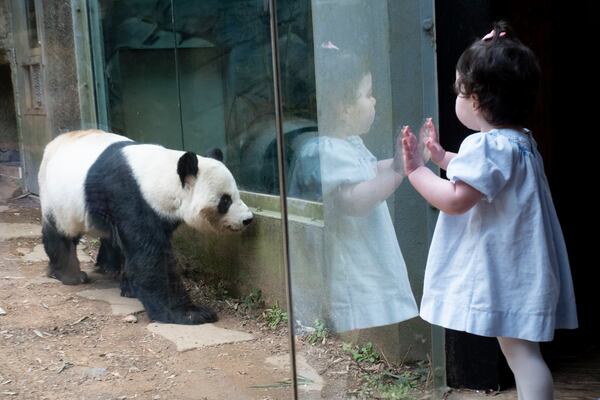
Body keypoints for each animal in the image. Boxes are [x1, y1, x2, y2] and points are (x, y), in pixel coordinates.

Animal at [37, 131, 253, 324]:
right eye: (225, 201)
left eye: (237, 194)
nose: (248, 219)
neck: (160, 176)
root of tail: (51, 144)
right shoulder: (131, 198)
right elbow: (152, 257)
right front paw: (190, 313)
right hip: (57, 199)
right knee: (59, 234)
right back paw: (70, 275)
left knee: (112, 238)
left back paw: (110, 269)